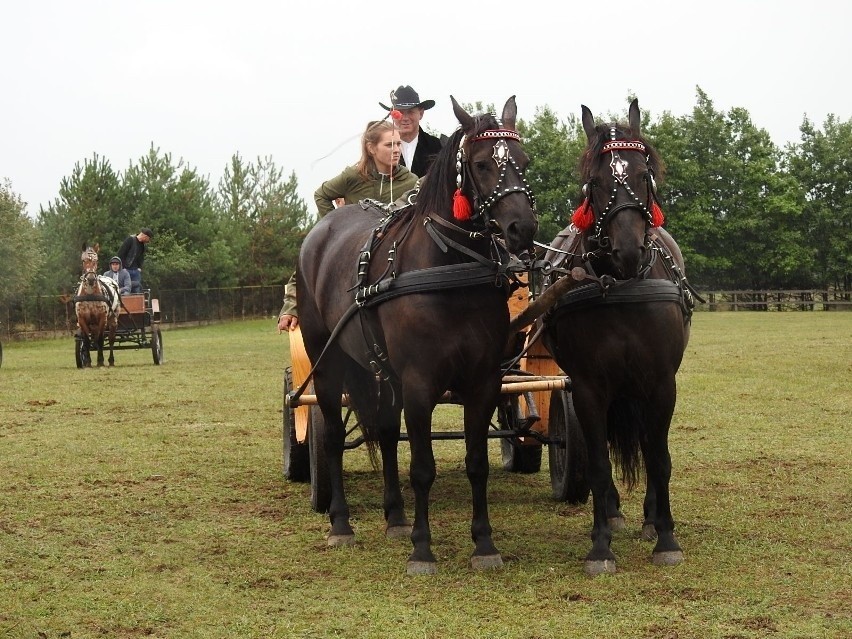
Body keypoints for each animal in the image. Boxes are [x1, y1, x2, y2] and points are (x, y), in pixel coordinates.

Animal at [300, 95, 536, 576]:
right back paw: (341, 524)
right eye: (482, 164)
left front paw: (484, 544)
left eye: (523, 161)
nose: (523, 229)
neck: (448, 269)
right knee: (332, 435)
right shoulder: (420, 383)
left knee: (388, 436)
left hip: (380, 372)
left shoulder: (483, 381)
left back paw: (395, 518)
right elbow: (423, 468)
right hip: (327, 363)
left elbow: (476, 462)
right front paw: (422, 550)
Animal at [540, 99, 700, 576]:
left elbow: (659, 458)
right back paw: (611, 512)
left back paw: (649, 519)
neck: (626, 286)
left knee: (648, 446)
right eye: (595, 181)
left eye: (644, 174)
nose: (628, 251)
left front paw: (665, 537)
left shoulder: (662, 382)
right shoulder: (588, 387)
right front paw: (600, 546)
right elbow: (595, 463)